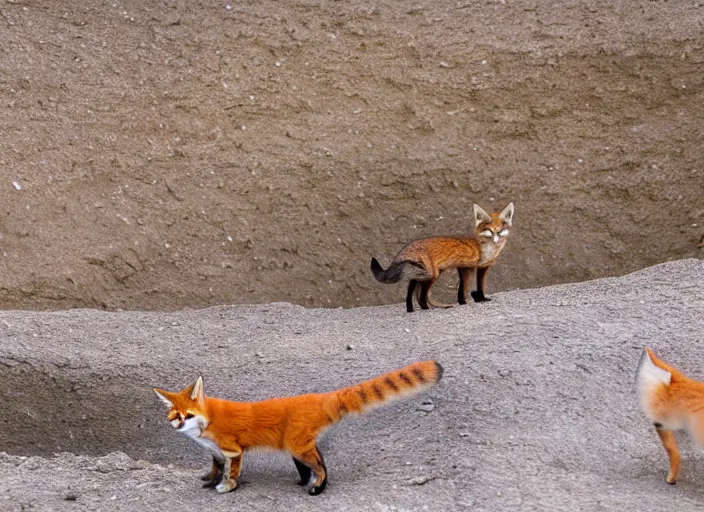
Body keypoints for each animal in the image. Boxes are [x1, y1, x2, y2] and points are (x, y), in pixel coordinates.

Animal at [154, 360, 442, 496]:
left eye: (189, 415)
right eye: (176, 416)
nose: (180, 424)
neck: (208, 420)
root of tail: (321, 398)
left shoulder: (232, 449)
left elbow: (231, 471)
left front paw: (226, 487)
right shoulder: (215, 451)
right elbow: (215, 467)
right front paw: (210, 479)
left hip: (298, 446)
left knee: (322, 467)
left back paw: (317, 486)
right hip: (299, 448)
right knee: (318, 463)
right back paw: (304, 481)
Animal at [372, 202, 516, 314]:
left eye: (500, 230)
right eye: (489, 230)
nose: (496, 238)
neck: (485, 248)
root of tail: (410, 245)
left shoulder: (478, 267)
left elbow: (472, 288)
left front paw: (471, 300)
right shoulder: (467, 267)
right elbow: (467, 288)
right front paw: (472, 300)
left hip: (428, 274)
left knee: (413, 289)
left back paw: (411, 309)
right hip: (431, 275)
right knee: (421, 296)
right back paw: (425, 309)